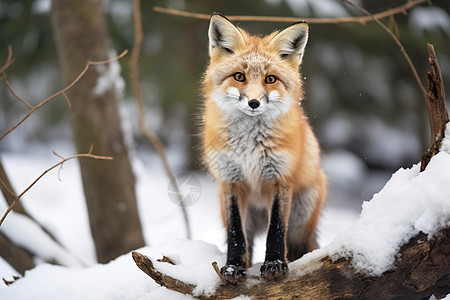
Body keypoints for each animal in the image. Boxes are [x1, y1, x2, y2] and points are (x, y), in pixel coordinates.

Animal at [201, 13, 326, 284]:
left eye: (270, 79)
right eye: (239, 76)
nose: (254, 103)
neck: (249, 144)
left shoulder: (279, 177)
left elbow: (276, 229)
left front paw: (275, 264)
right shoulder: (231, 179)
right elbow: (236, 235)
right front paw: (232, 268)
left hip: (301, 220)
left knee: (297, 244)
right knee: (245, 241)